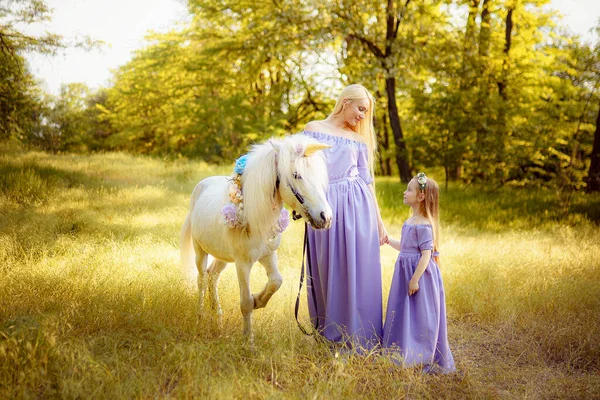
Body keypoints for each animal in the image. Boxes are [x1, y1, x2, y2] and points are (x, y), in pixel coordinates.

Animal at [180, 134, 332, 340]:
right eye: (296, 175)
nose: (325, 217)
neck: (256, 215)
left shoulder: (268, 255)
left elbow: (276, 281)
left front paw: (258, 300)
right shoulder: (242, 263)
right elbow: (245, 303)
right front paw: (248, 341)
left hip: (223, 257)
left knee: (213, 276)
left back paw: (217, 321)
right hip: (200, 252)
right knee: (202, 280)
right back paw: (199, 319)